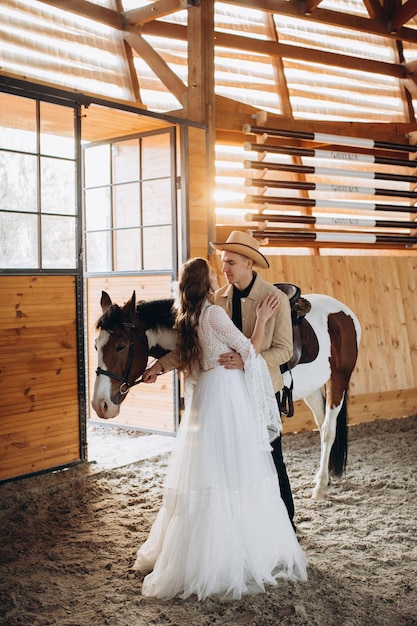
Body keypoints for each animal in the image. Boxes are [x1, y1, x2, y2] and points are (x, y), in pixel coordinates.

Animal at [92, 288, 360, 498]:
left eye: (121, 346)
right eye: (96, 345)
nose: (100, 405)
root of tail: (344, 312)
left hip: (339, 379)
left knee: (328, 430)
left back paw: (320, 487)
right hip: (311, 389)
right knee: (321, 425)